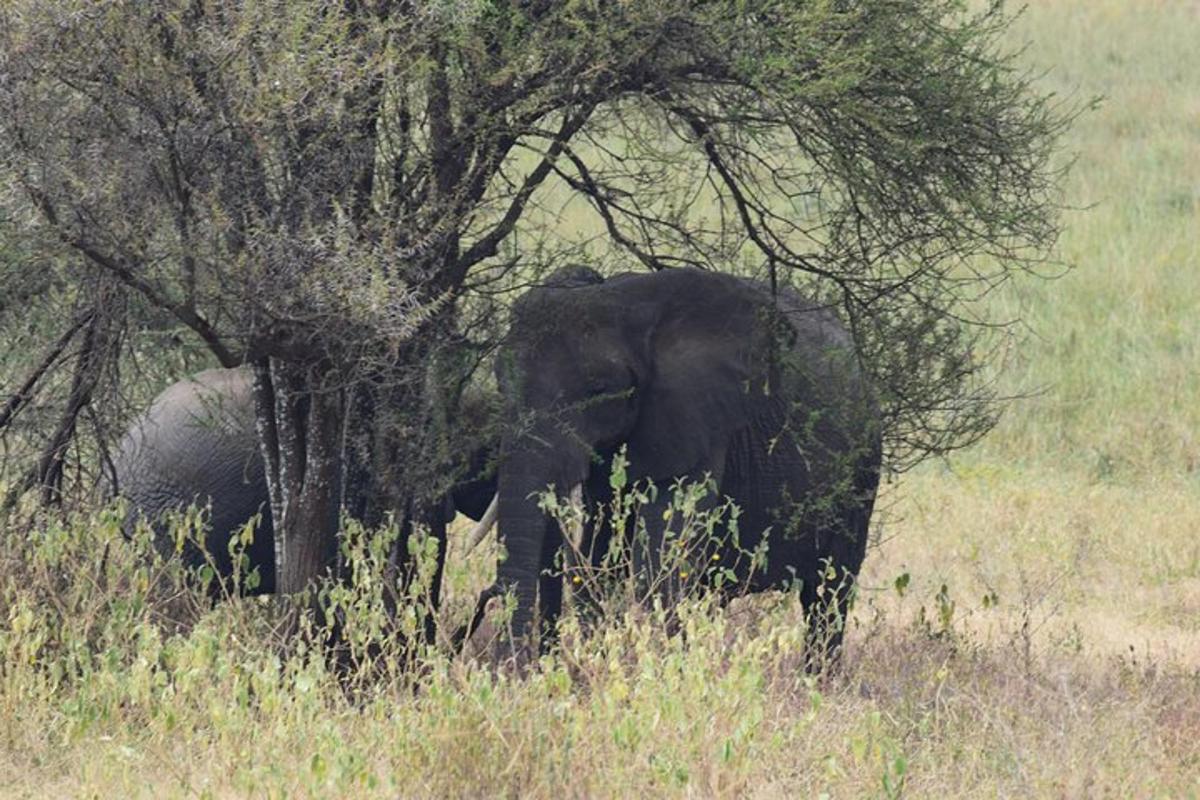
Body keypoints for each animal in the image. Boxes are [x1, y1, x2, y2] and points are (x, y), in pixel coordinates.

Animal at [482, 266, 888, 666]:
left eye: (599, 390)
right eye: (500, 385)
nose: (524, 668)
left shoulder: (700, 420)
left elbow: (659, 564)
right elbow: (600, 560)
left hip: (862, 465)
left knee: (828, 593)